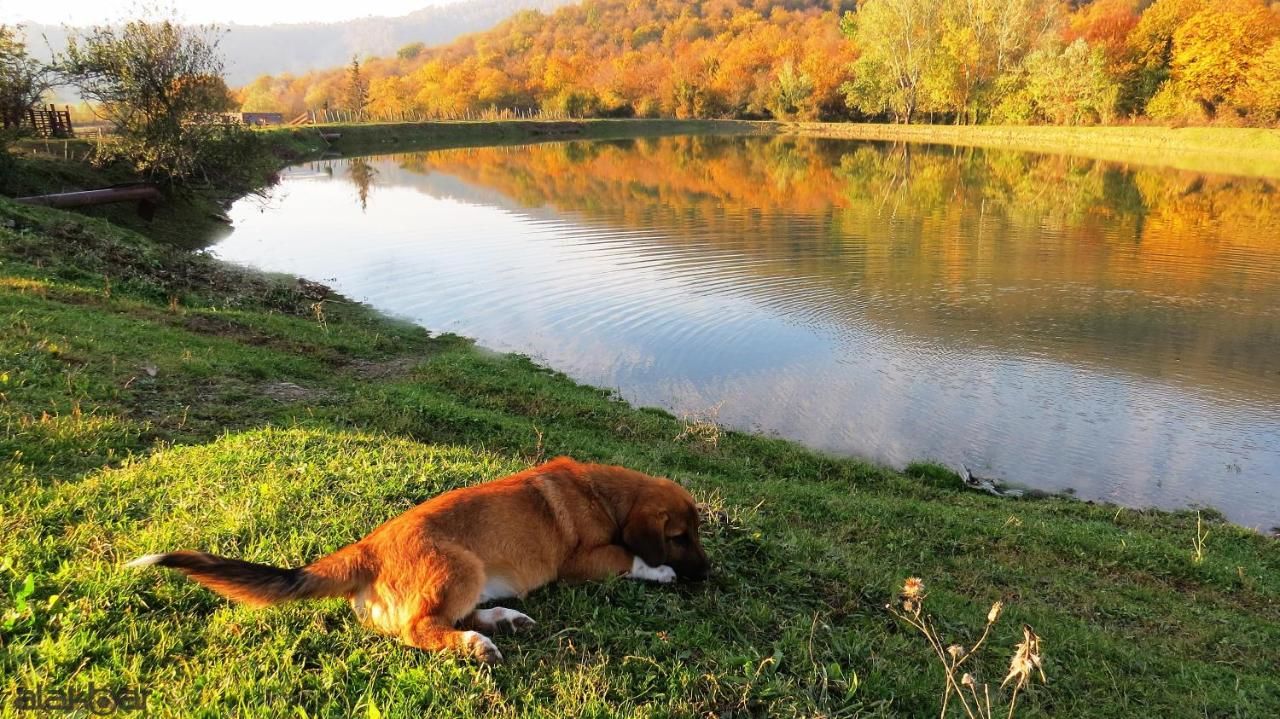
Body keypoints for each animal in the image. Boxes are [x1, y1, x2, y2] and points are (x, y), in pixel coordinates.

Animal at [127, 455, 711, 660]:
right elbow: (630, 560)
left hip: (469, 575)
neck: (605, 494)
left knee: (448, 616)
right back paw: (476, 644)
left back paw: (504, 620)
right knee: (421, 628)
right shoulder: (583, 562)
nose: (709, 577)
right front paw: (660, 571)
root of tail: (364, 550)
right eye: (680, 537)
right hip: (463, 565)